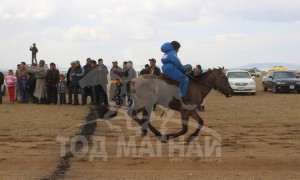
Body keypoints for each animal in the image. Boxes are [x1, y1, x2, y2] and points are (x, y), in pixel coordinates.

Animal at [101, 67, 234, 143]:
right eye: (225, 78)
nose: (232, 92)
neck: (197, 87)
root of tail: (132, 81)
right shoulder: (185, 111)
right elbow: (184, 129)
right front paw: (169, 136)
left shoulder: (191, 111)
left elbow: (201, 122)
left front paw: (191, 137)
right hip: (146, 104)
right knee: (137, 116)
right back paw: (157, 134)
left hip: (144, 105)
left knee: (137, 116)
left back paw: (148, 132)